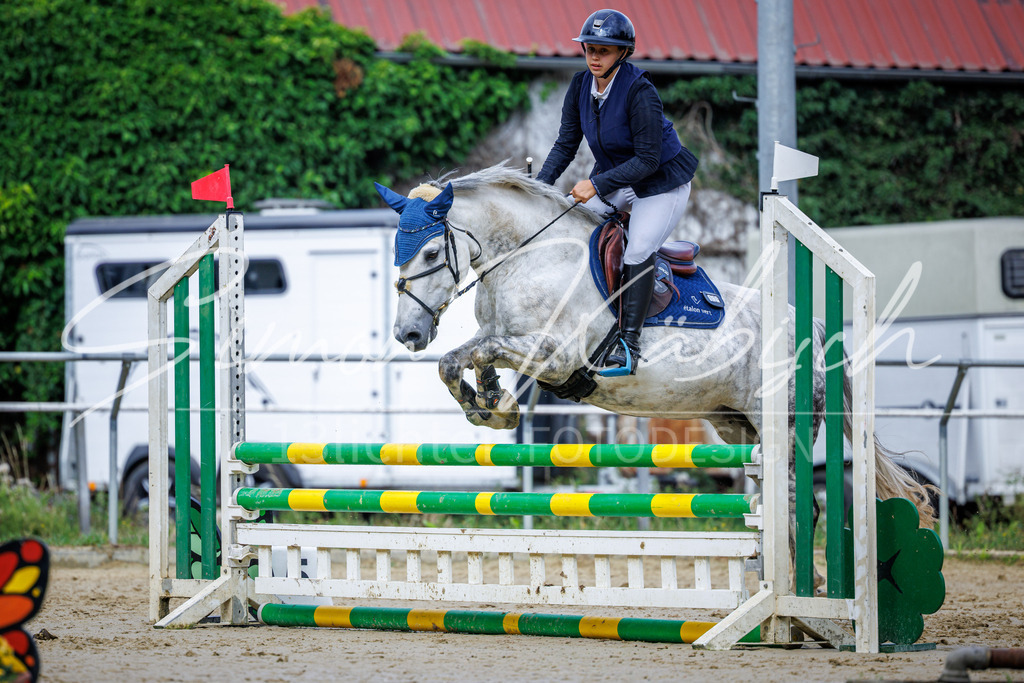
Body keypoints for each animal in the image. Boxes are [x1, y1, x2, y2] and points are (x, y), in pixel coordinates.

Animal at [374, 162, 935, 528]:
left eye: (429, 252)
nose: (408, 335)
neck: (528, 254)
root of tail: (814, 330)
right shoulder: (505, 337)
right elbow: (463, 358)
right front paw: (492, 403)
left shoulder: (555, 354)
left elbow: (469, 356)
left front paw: (492, 406)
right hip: (735, 424)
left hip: (788, 425)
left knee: (804, 504)